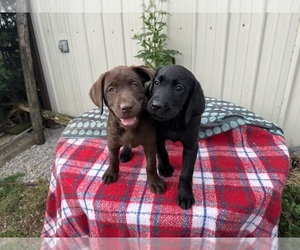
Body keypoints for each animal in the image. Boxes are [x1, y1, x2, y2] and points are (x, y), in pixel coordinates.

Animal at [89, 65, 166, 194]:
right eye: (111, 89)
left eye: (134, 85)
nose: (126, 107)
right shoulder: (112, 143)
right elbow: (113, 159)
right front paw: (111, 173)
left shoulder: (150, 145)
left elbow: (151, 165)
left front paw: (154, 181)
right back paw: (125, 152)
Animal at [146, 64, 205, 209]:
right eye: (157, 82)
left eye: (179, 88)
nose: (156, 106)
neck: (174, 121)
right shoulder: (158, 137)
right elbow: (162, 153)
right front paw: (165, 167)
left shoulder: (191, 146)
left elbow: (186, 173)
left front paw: (185, 194)